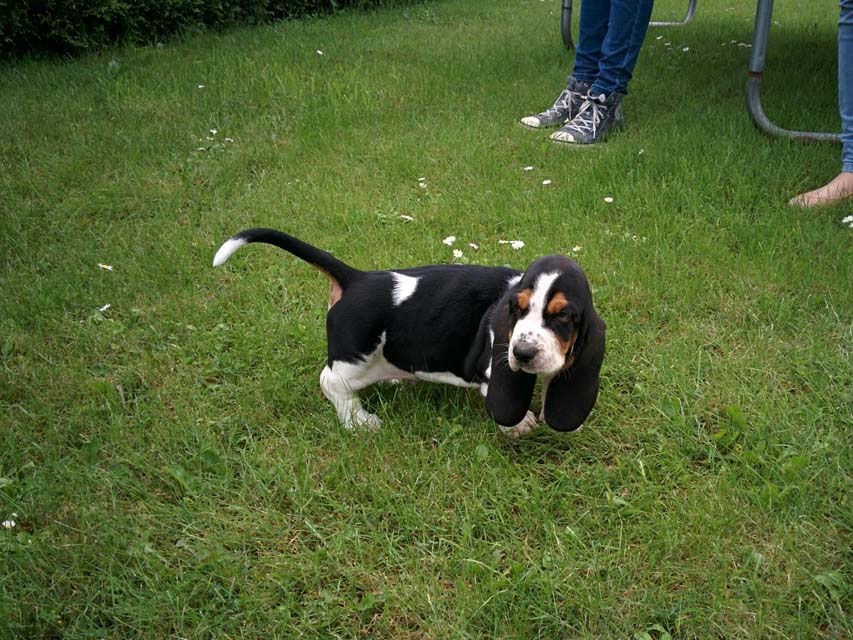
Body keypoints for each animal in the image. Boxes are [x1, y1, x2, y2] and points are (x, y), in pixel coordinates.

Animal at [213, 228, 605, 437]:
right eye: (517, 309)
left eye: (564, 316)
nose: (522, 354)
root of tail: (356, 279)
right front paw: (519, 424)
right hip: (356, 358)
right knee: (330, 381)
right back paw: (359, 421)